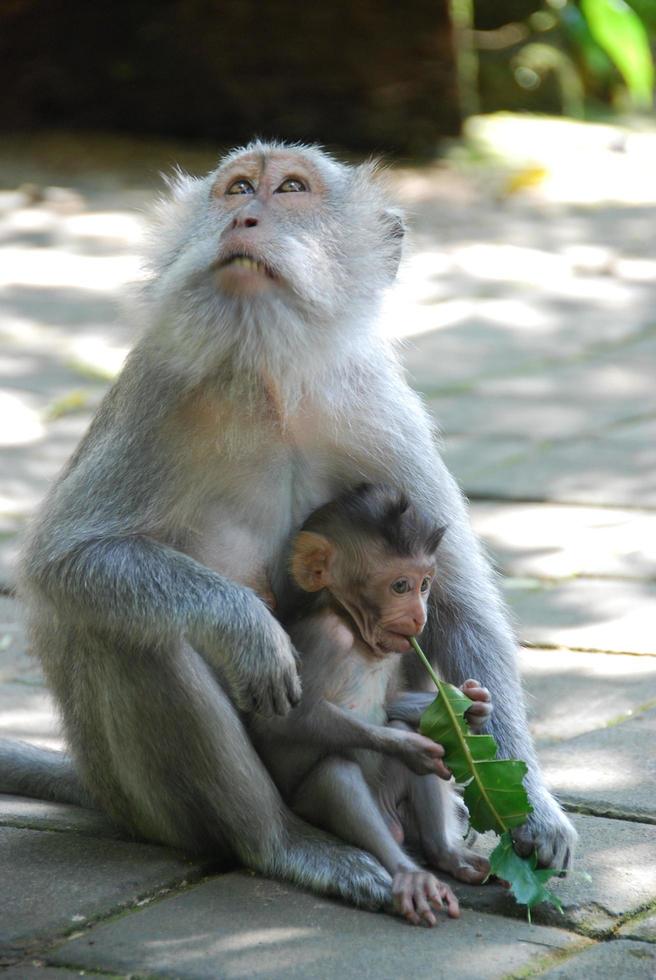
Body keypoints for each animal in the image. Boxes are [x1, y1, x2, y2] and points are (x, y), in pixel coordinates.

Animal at [249, 484, 490, 928]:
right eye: (400, 586)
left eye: (425, 584)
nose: (419, 617)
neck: (355, 631)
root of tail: (392, 822)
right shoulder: (325, 639)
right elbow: (279, 723)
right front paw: (408, 745)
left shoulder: (395, 649)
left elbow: (395, 703)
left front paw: (473, 706)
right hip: (312, 809)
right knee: (337, 773)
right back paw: (408, 874)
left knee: (412, 734)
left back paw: (446, 854)